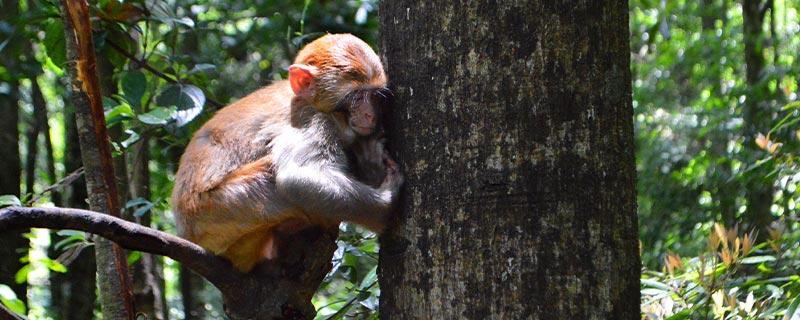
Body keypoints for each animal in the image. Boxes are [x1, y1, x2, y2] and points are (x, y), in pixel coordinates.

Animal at [172, 33, 404, 272]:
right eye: (356, 97)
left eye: (374, 96)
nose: (370, 115)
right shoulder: (312, 119)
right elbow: (296, 176)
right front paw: (386, 204)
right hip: (219, 212)